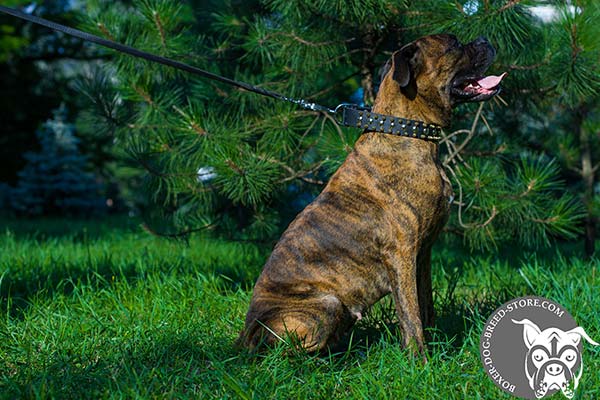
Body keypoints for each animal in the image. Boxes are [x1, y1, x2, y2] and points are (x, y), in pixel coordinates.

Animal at [239, 34, 506, 356]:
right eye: (453, 44)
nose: (484, 38)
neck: (408, 133)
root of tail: (244, 338)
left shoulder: (423, 253)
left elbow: (425, 305)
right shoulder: (401, 254)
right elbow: (410, 314)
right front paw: (420, 359)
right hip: (327, 304)